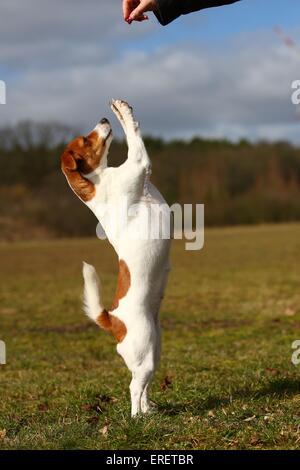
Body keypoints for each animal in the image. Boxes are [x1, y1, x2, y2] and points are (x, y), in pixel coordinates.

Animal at [61, 101, 171, 416]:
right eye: (85, 140)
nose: (102, 118)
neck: (97, 182)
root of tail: (112, 319)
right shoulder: (138, 163)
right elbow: (133, 133)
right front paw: (122, 110)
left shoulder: (146, 179)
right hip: (145, 352)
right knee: (134, 388)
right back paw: (137, 418)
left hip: (153, 353)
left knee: (142, 386)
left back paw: (148, 410)